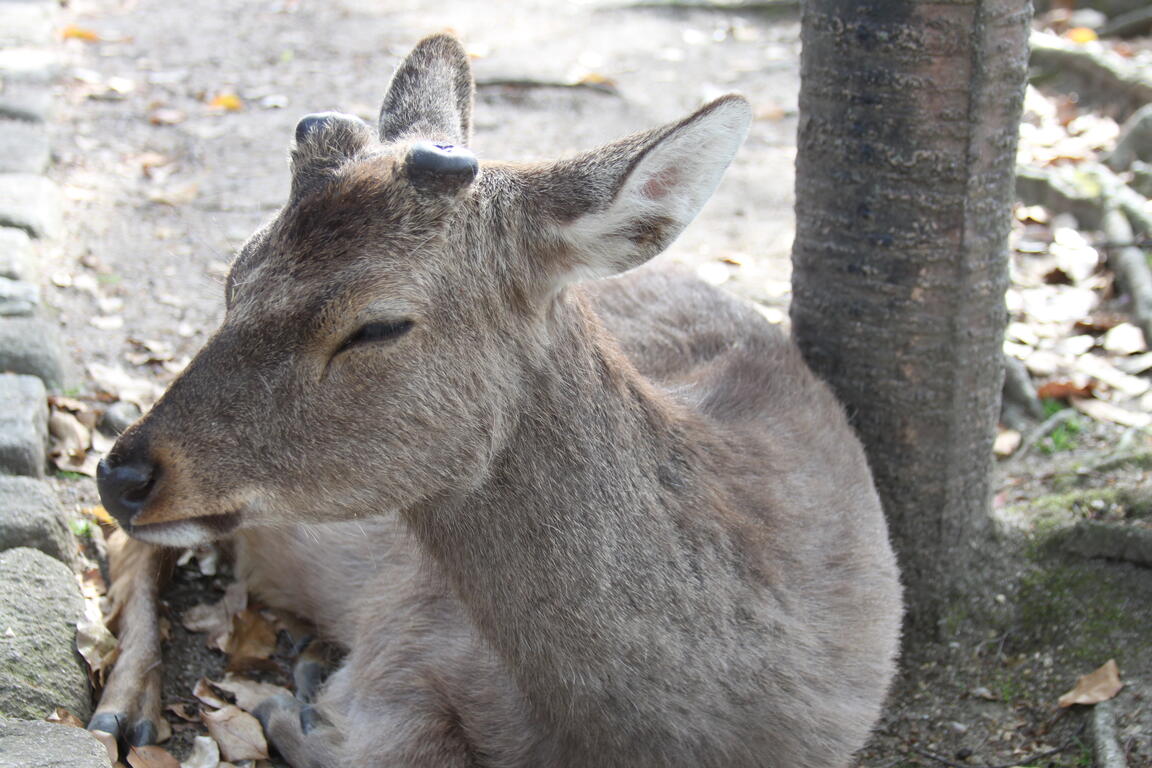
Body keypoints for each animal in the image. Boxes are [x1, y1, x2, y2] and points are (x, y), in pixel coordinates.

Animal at [87, 33, 898, 768]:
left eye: (377, 324)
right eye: (235, 274)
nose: (123, 476)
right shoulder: (402, 627)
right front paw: (298, 702)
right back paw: (123, 709)